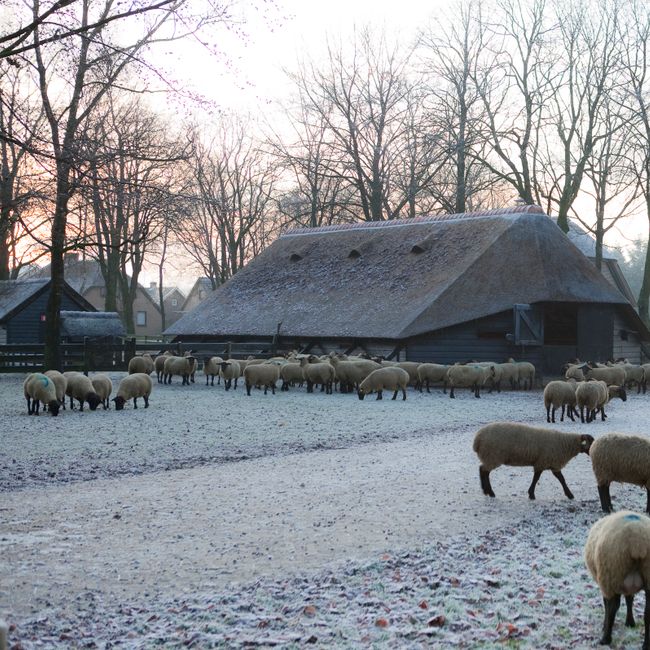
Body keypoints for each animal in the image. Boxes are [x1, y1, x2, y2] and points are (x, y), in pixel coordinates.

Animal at [584, 508, 648, 644]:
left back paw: (605, 639)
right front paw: (630, 622)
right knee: (647, 613)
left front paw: (605, 626)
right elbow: (629, 600)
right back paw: (645, 645)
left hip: (611, 575)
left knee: (612, 607)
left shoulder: (605, 584)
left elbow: (607, 605)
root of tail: (637, 544)